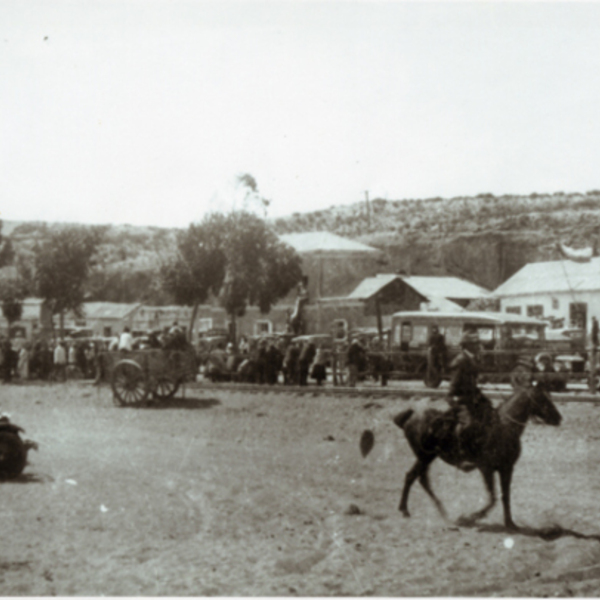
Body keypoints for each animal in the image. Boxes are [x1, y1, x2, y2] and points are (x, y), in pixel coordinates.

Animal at [360, 384, 564, 528]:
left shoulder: (507, 469)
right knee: (413, 476)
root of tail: (411, 415)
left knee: (420, 479)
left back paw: (440, 511)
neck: (504, 427)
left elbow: (505, 496)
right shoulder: (486, 468)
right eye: (544, 400)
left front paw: (510, 523)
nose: (559, 418)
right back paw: (408, 510)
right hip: (425, 456)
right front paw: (470, 517)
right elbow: (492, 498)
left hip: (428, 457)